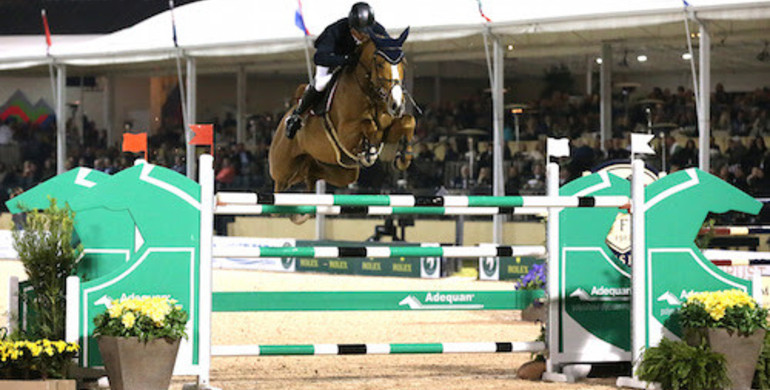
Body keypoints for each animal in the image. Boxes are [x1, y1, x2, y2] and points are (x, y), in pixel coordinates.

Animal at [268, 27, 414, 222]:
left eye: (402, 63)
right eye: (379, 63)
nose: (397, 104)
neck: (368, 93)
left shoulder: (390, 124)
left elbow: (408, 121)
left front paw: (404, 157)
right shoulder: (346, 134)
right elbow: (369, 126)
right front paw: (370, 150)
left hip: (342, 172)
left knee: (312, 175)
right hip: (283, 168)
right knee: (280, 187)